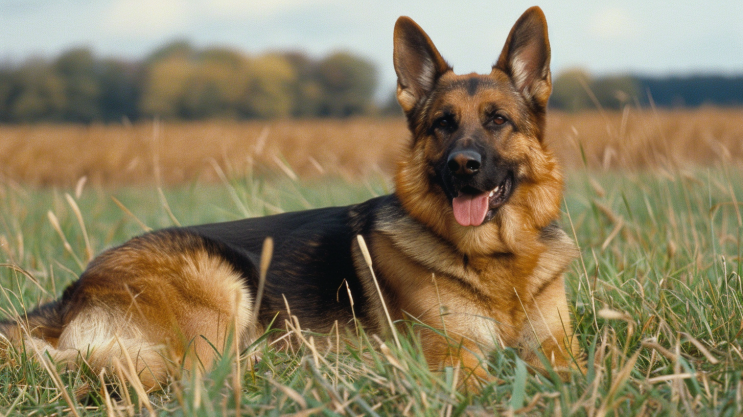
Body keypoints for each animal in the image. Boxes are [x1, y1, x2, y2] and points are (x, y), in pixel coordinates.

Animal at [0, 6, 580, 388]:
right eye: (443, 124)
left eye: (497, 121)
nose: (463, 166)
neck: (498, 258)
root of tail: (70, 298)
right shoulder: (456, 359)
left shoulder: (558, 348)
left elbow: (572, 373)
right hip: (221, 287)